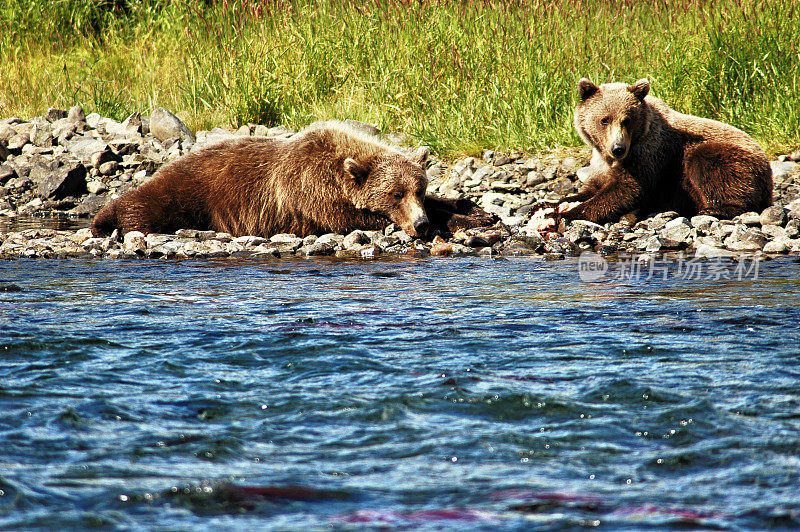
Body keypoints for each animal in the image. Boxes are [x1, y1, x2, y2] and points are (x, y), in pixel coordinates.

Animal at [92, 121, 494, 238]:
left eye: (419, 189)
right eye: (395, 194)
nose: (420, 225)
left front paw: (474, 209)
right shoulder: (311, 194)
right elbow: (353, 218)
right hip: (187, 192)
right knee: (147, 204)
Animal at [552, 77, 772, 222]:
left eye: (627, 119)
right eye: (604, 120)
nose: (618, 148)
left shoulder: (649, 155)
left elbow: (627, 190)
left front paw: (569, 213)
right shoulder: (601, 163)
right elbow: (593, 187)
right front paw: (554, 204)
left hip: (734, 158)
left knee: (711, 166)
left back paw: (714, 210)